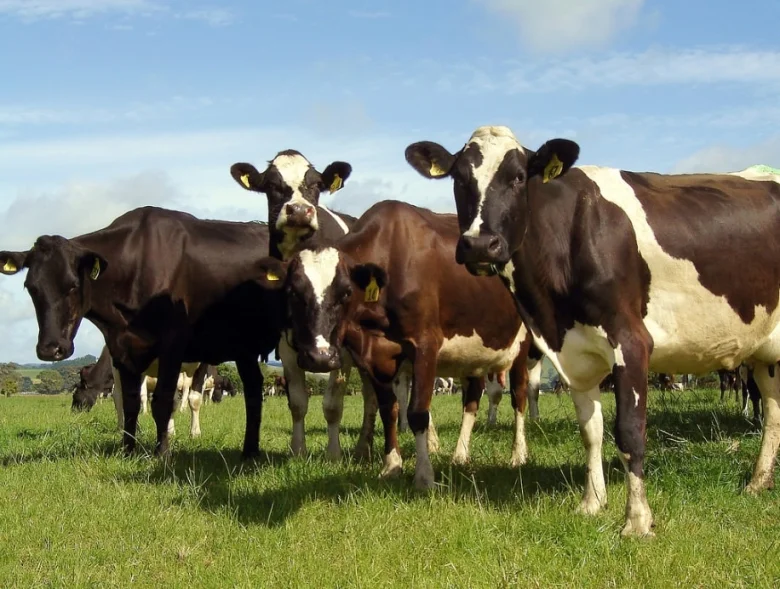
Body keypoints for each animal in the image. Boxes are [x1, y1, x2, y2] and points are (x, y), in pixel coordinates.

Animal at [0, 206, 286, 459]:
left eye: (72, 285)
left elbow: (162, 402)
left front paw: (162, 453)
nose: (51, 349)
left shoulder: (173, 344)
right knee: (253, 390)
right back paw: (249, 452)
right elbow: (130, 404)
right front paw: (128, 451)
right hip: (244, 347)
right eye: (30, 287)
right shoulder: (122, 349)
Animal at [262, 200, 537, 485]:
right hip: (471, 355)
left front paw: (424, 476)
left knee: (519, 396)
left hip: (522, 345)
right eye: (292, 292)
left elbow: (417, 413)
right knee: (471, 399)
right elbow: (388, 409)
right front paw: (392, 464)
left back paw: (518, 455)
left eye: (346, 292)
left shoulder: (425, 345)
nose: (319, 356)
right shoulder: (373, 356)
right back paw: (460, 454)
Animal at [404, 125, 780, 537]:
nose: (478, 245)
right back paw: (758, 481)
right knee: (774, 410)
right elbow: (591, 431)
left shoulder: (631, 341)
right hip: (766, 353)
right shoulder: (573, 352)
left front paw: (637, 520)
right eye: (459, 179)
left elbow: (629, 432)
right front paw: (592, 502)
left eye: (518, 177)